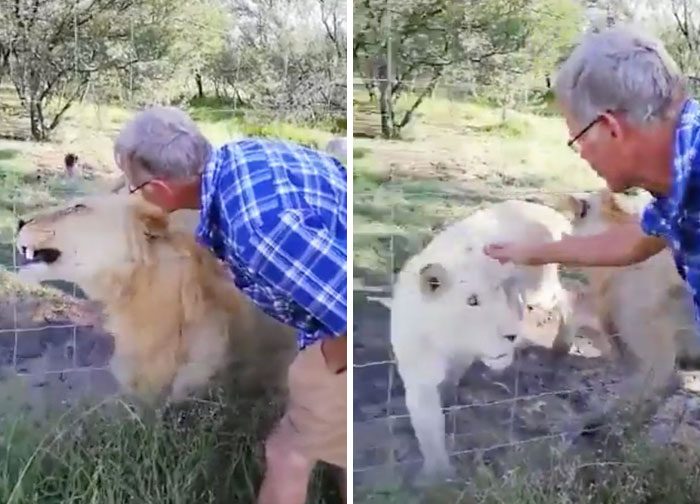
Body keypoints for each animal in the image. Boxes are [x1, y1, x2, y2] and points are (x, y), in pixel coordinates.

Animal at [388, 199, 576, 482]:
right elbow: (429, 426)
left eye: (495, 294)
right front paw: (436, 476)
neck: (448, 340)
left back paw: (562, 344)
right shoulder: (420, 374)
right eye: (472, 301)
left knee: (567, 297)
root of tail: (547, 211)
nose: (511, 335)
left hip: (540, 289)